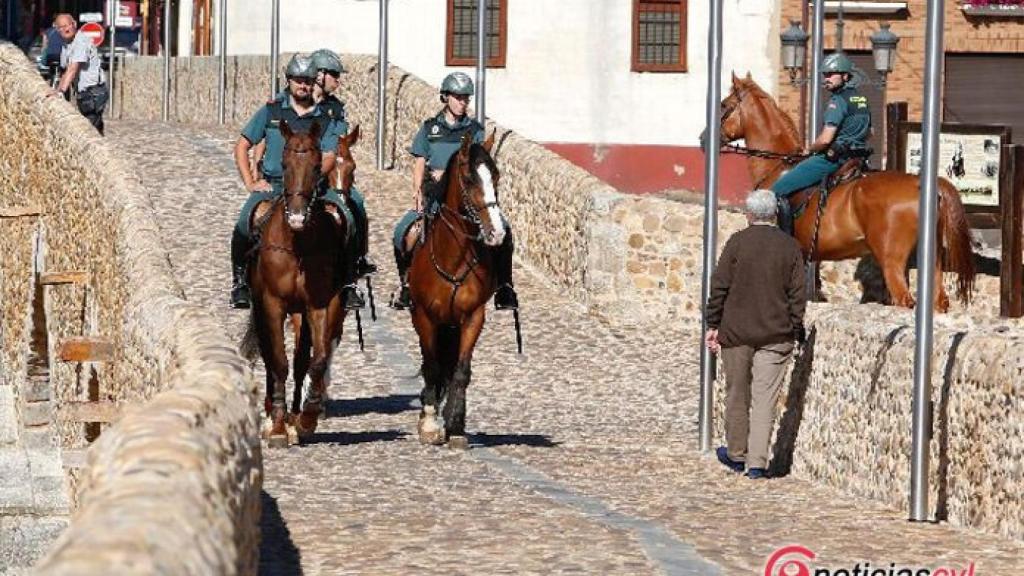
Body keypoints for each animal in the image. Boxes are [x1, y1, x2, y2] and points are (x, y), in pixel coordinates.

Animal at [241, 119, 358, 444]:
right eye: (284, 163)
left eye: (318, 165)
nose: (296, 216)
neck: (298, 244)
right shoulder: (271, 303)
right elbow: (277, 360)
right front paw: (278, 424)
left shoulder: (320, 304)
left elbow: (316, 359)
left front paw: (307, 416)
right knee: (272, 355)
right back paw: (274, 413)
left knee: (302, 357)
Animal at [407, 131, 503, 448]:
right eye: (470, 179)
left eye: (496, 176)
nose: (497, 233)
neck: (454, 257)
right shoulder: (423, 316)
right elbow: (432, 366)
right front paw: (429, 424)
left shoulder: (473, 317)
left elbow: (460, 371)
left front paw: (456, 425)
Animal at [716, 75, 970, 311]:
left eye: (724, 104)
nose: (709, 137)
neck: (777, 166)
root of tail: (920, 183)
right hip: (932, 261)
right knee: (939, 300)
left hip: (892, 261)